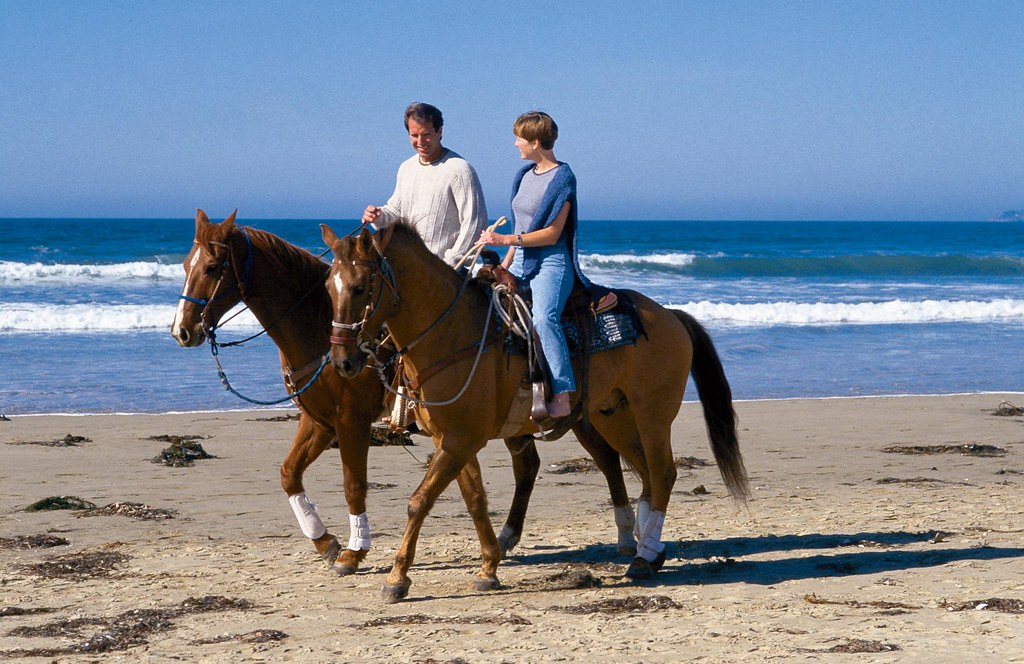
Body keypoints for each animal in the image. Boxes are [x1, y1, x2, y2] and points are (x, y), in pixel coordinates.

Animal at [171, 210, 640, 576]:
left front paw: (354, 550)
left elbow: (354, 484)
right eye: (185, 264)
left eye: (211, 268)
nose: (183, 331)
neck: (318, 332)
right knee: (532, 466)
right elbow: (289, 474)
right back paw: (508, 538)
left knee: (606, 460)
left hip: (583, 413)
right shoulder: (319, 420)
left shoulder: (350, 421)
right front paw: (326, 542)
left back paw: (626, 535)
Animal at [321, 221, 749, 603]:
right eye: (328, 287)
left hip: (652, 415)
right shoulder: (454, 441)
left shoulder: (460, 440)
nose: (343, 360)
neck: (452, 333)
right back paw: (651, 549)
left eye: (359, 287)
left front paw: (397, 578)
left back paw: (643, 558)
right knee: (642, 473)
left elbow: (419, 502)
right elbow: (475, 501)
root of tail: (671, 315)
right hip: (614, 417)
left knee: (662, 473)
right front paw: (489, 567)